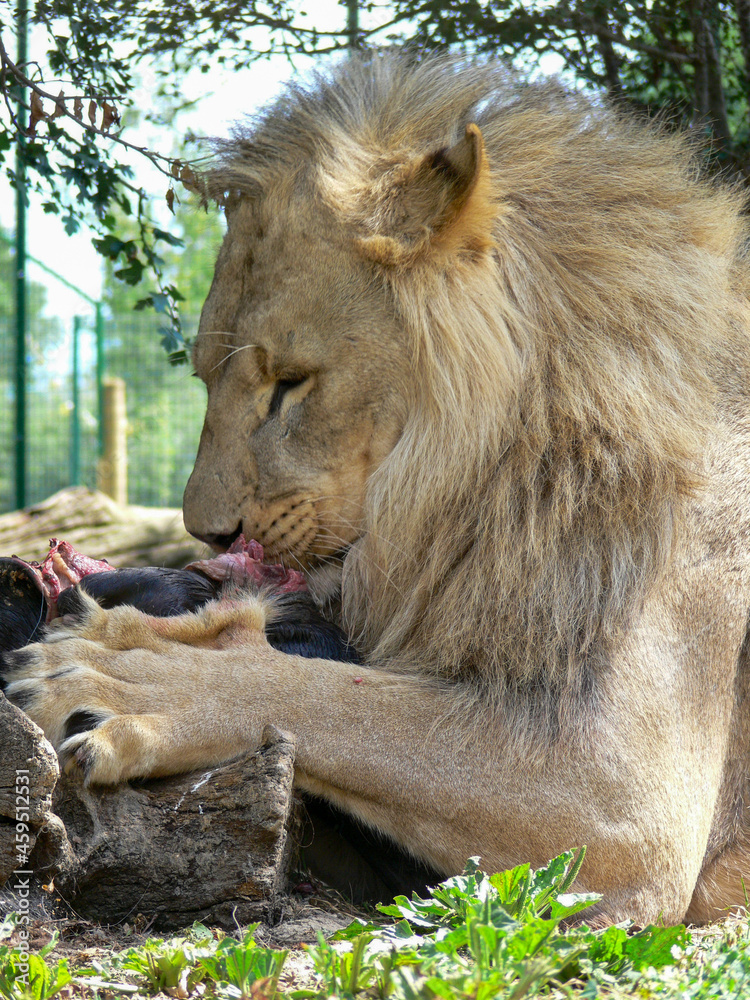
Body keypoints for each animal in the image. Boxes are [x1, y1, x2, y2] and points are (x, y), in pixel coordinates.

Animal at [3, 50, 750, 925]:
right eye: (204, 377)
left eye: (290, 383)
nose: (209, 534)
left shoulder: (622, 793)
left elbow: (335, 698)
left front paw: (117, 672)